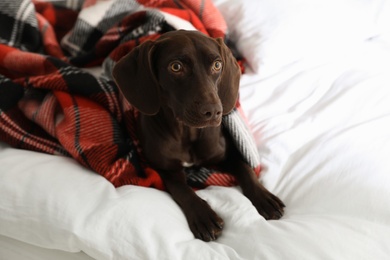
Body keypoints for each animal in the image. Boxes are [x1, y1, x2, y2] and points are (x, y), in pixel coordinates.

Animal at [111, 30, 284, 242]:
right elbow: (183, 190)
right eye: (176, 66)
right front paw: (203, 216)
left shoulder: (228, 155)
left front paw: (263, 197)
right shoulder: (165, 169)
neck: (187, 133)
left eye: (217, 65)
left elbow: (246, 169)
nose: (214, 111)